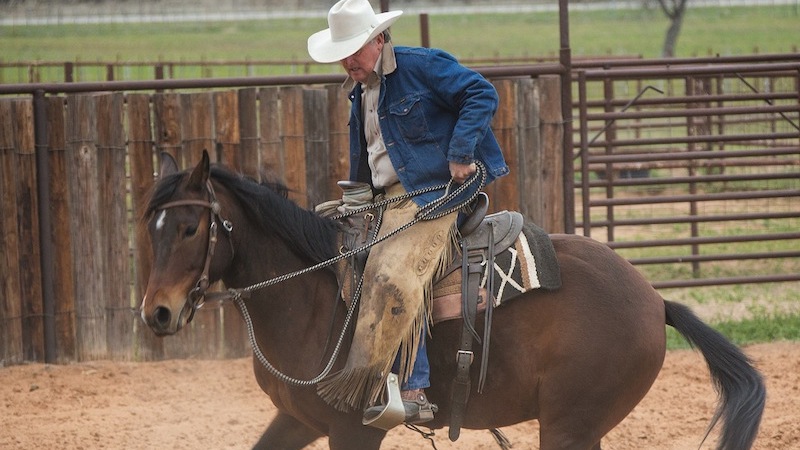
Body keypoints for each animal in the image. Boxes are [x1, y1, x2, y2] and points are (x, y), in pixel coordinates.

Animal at [139, 150, 765, 450]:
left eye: (191, 229)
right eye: (152, 227)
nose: (157, 312)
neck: (314, 300)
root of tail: (654, 301)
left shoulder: (353, 431)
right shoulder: (295, 421)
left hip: (568, 426)